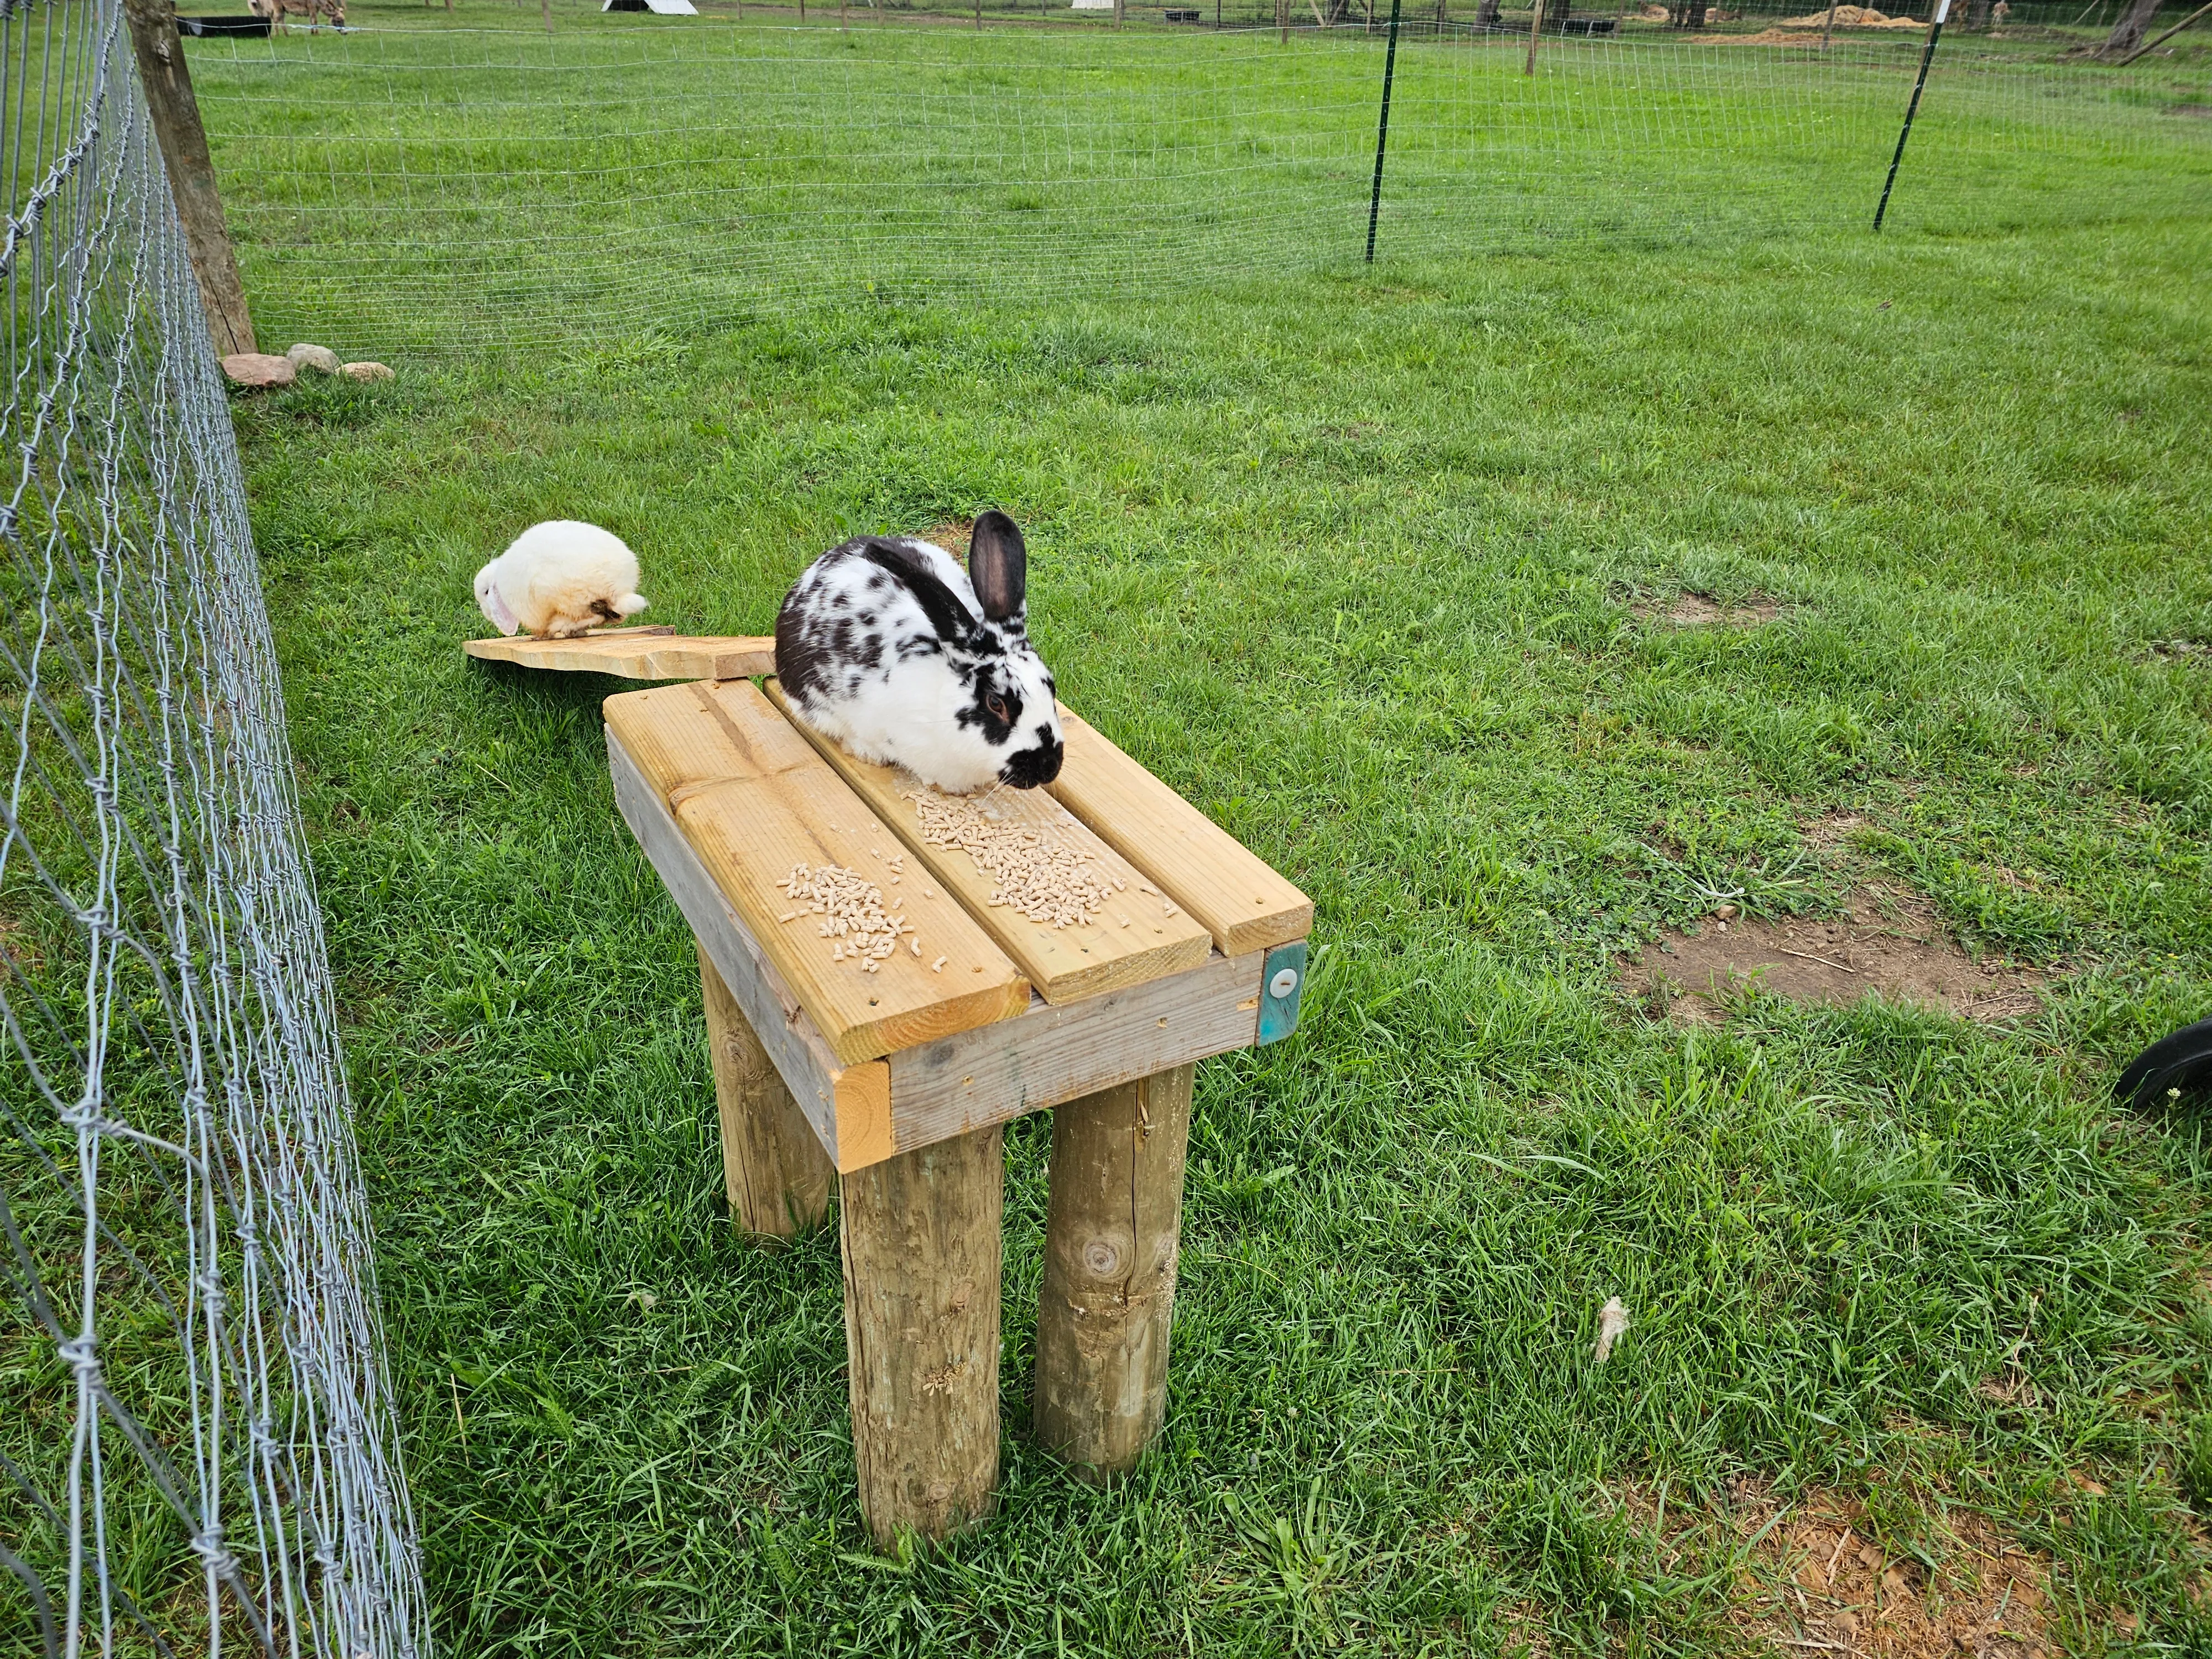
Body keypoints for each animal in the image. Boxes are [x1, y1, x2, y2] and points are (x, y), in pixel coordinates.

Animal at [473, 520, 648, 639]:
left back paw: (560, 628)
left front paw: (540, 635)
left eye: (486, 592)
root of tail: (619, 591)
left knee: (596, 616)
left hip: (569, 597)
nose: (487, 614)